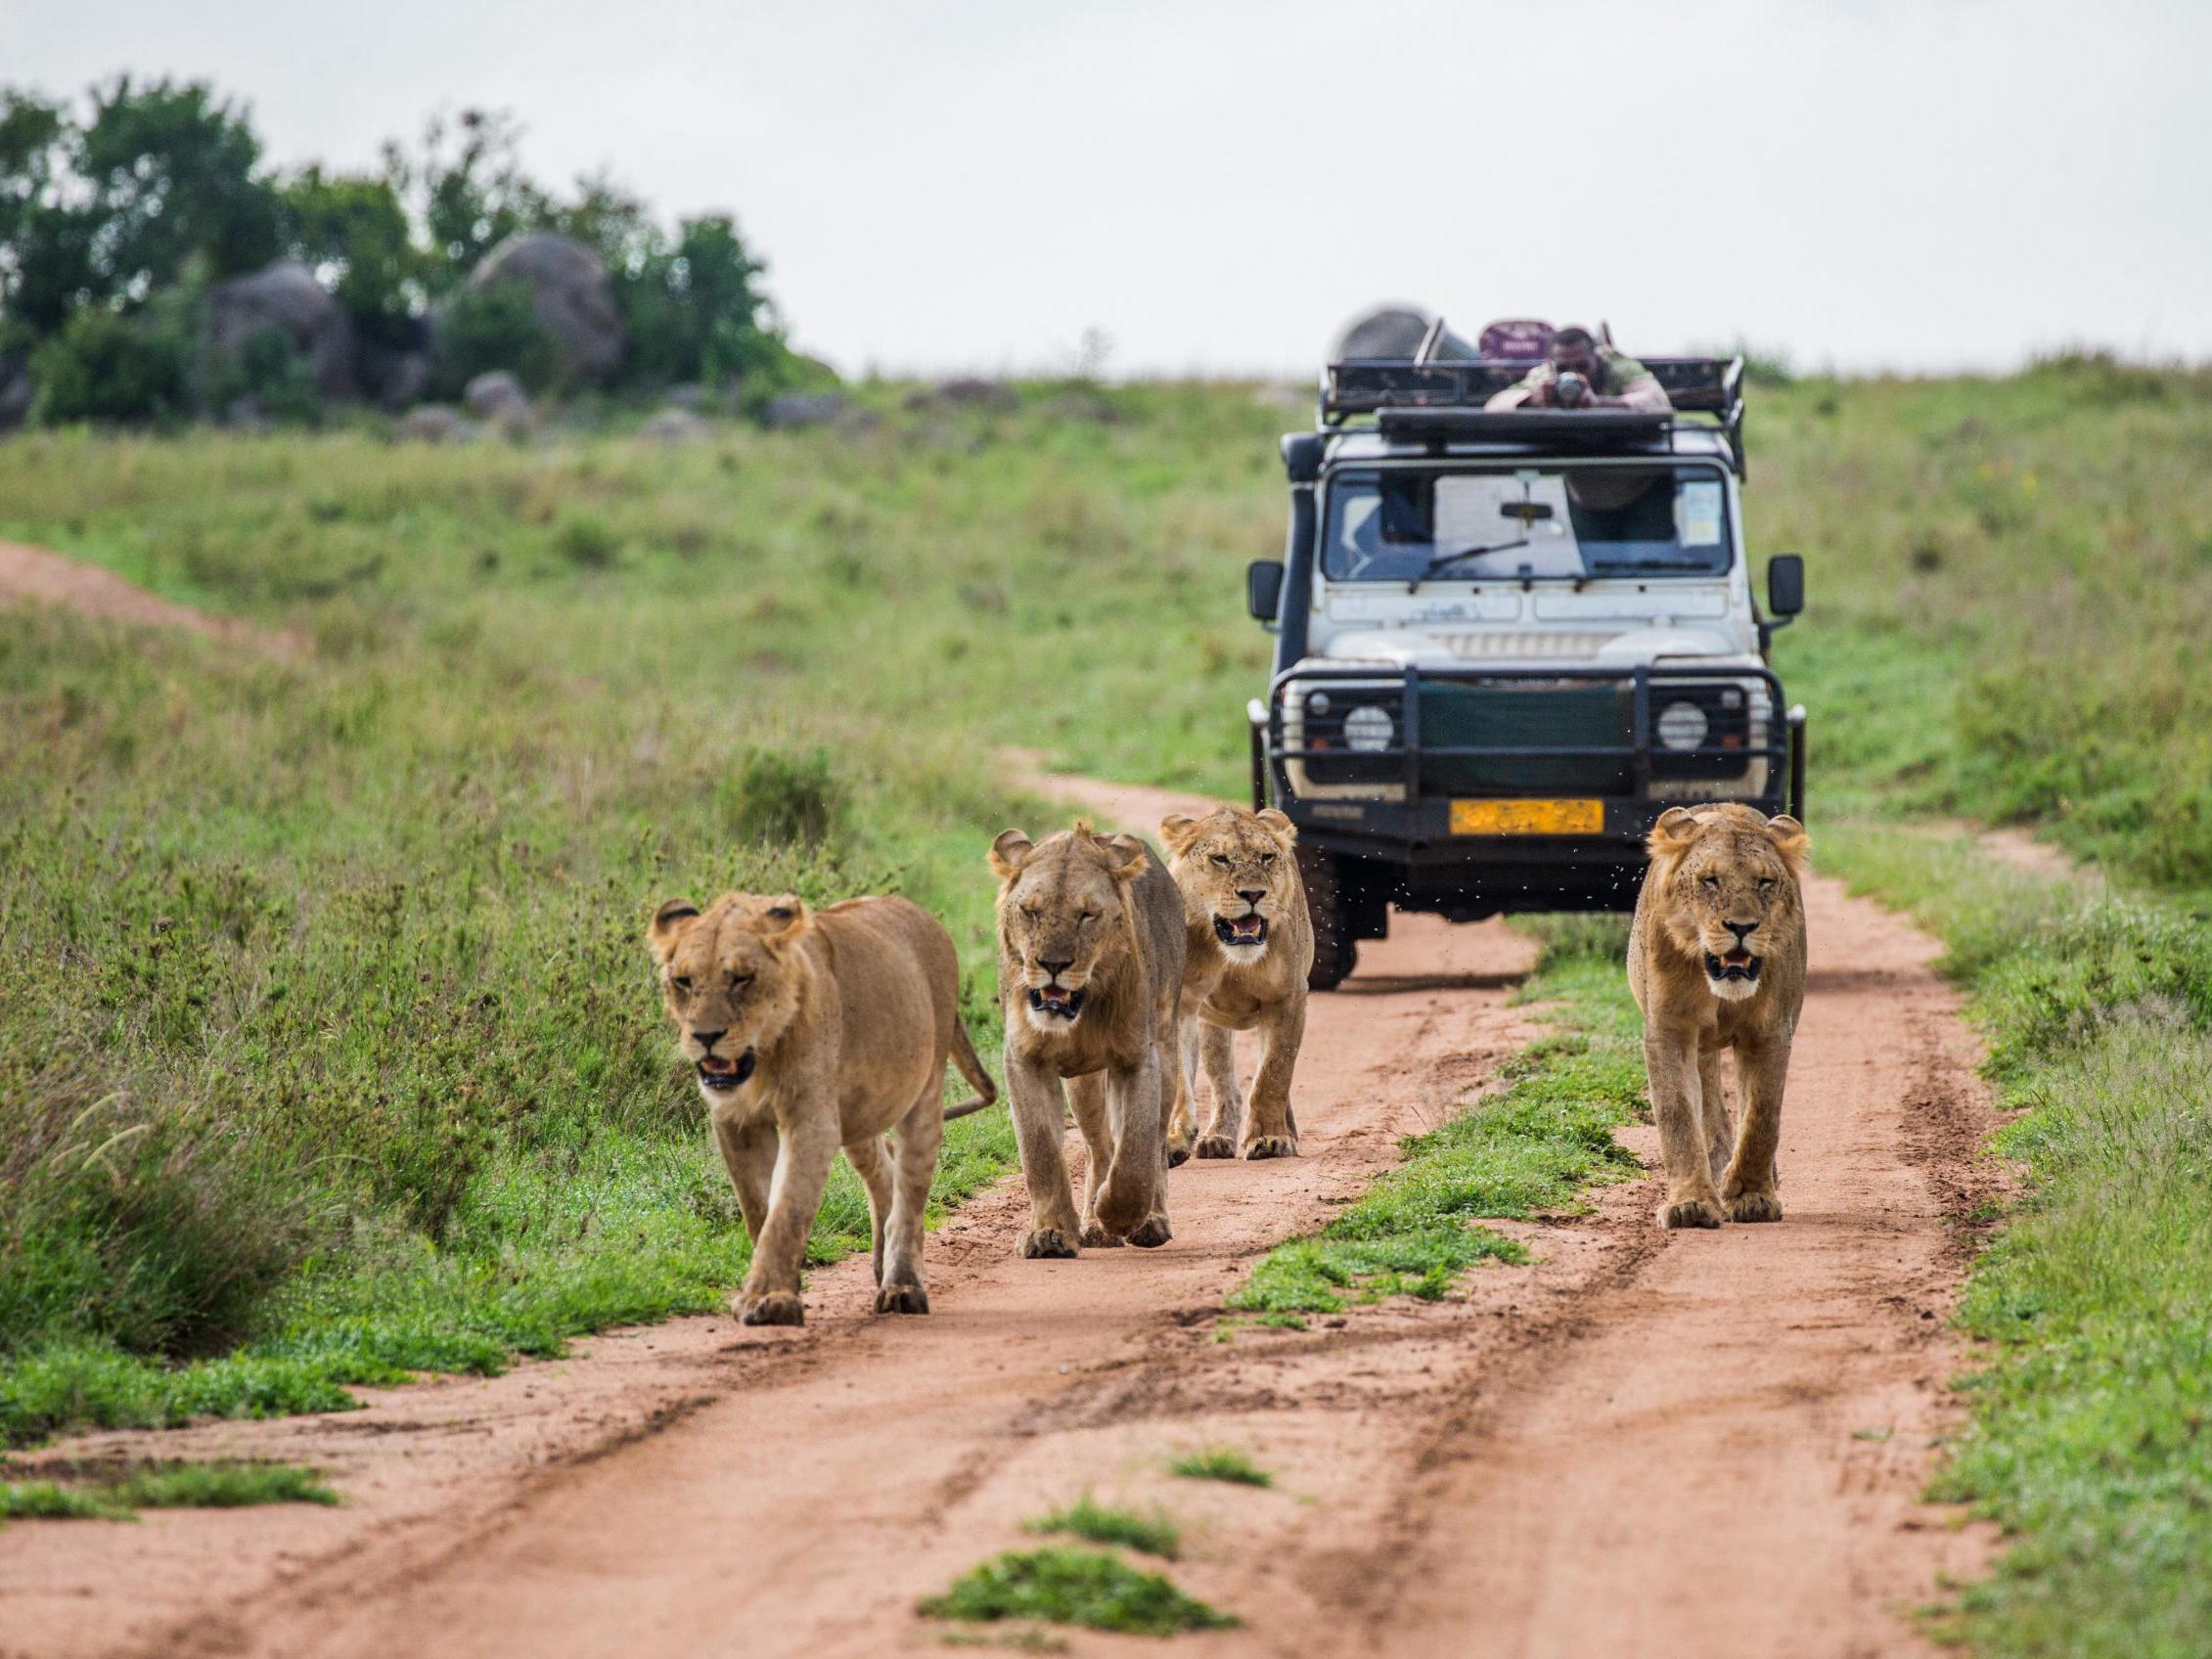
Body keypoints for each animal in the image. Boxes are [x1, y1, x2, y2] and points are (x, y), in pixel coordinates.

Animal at [646, 889, 995, 1335]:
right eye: (683, 981)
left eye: (741, 978)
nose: (705, 1037)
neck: (764, 1057)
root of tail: (922, 915)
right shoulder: (734, 1122)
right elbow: (758, 1209)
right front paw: (783, 1288)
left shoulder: (812, 1120)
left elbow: (788, 1209)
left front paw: (769, 1301)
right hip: (860, 1113)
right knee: (883, 1172)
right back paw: (881, 1264)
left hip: (925, 1093)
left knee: (909, 1198)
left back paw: (902, 1286)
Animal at [990, 818, 1185, 1256]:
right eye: (1030, 911)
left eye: (1087, 915)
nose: (1052, 964)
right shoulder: (1024, 1059)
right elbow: (1041, 1151)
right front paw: (1050, 1234)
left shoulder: (1138, 1058)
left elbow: (1136, 1151)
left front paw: (1120, 1215)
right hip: (1084, 1083)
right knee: (1099, 1145)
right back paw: (1094, 1224)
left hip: (1166, 1049)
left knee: (1154, 1144)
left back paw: (1147, 1221)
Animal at [1158, 814, 1309, 1158]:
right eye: (1220, 859)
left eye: (1267, 857)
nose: (1253, 894)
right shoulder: (1180, 1003)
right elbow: (1178, 1077)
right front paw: (1175, 1139)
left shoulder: (1288, 998)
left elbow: (1273, 1075)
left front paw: (1270, 1138)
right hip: (1212, 1026)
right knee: (1224, 1082)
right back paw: (1217, 1138)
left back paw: (1287, 1133)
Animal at [1637, 805, 1804, 1238]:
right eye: (1710, 881)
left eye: (1765, 882)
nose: (1742, 927)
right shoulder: (1669, 1030)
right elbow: (1677, 1114)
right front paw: (1691, 1205)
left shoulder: (1770, 1032)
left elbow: (1761, 1116)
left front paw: (1751, 1195)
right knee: (1709, 1104)